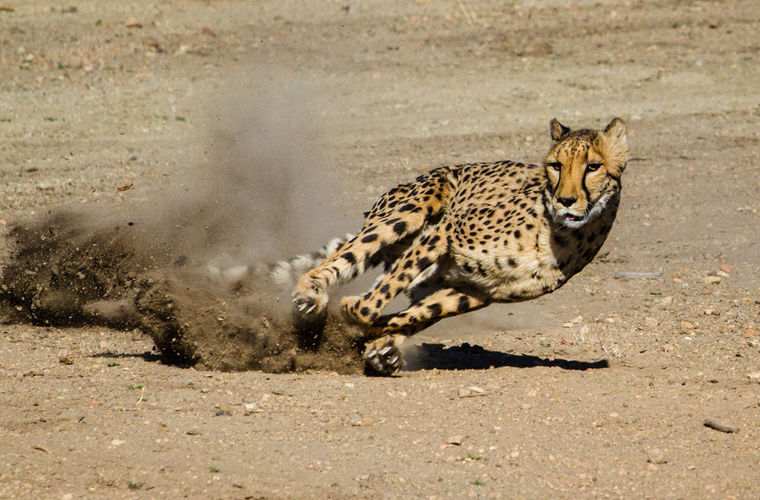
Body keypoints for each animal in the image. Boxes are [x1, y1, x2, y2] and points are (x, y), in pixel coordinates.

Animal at [288, 118, 628, 376]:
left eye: (593, 167)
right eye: (556, 166)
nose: (565, 200)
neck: (560, 231)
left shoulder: (478, 291)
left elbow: (409, 316)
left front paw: (375, 340)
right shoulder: (447, 230)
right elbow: (370, 307)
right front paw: (350, 314)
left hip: (434, 277)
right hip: (411, 211)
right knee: (344, 257)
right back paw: (310, 295)